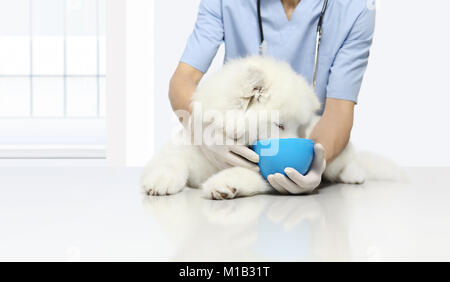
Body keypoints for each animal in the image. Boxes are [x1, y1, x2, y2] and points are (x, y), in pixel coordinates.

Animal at [141, 56, 398, 199]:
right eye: (280, 125)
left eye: (300, 128)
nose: (306, 146)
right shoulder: (191, 148)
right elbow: (172, 160)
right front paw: (159, 181)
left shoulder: (269, 174)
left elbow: (245, 173)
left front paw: (223, 184)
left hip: (338, 155)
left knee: (347, 162)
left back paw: (354, 174)